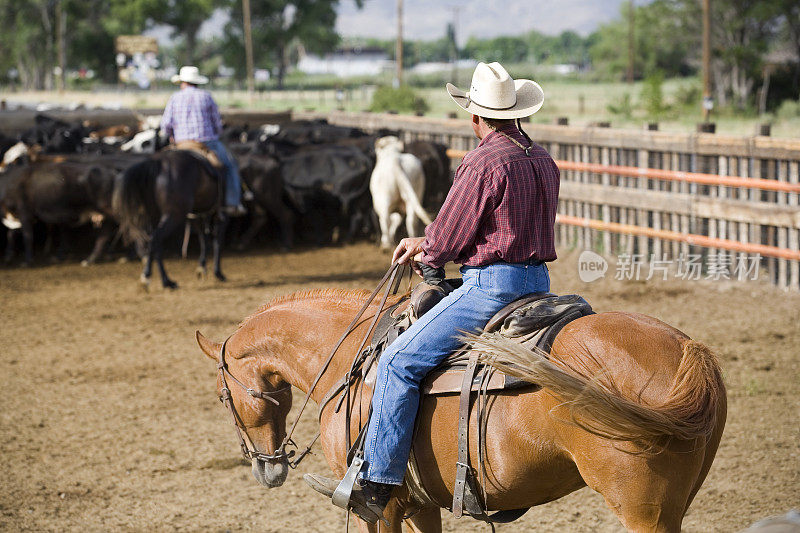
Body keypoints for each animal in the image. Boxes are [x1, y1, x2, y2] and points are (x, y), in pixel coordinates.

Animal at [112, 150, 227, 288]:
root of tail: (158, 163)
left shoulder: (197, 215)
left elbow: (203, 238)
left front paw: (202, 268)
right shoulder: (218, 213)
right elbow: (216, 240)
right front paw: (218, 272)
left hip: (155, 216)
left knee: (154, 242)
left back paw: (157, 278)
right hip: (174, 215)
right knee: (156, 239)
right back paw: (159, 279)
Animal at [197, 288, 728, 528]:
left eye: (222, 396)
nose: (267, 469)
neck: (348, 358)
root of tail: (692, 352)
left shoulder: (380, 507)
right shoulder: (420, 503)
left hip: (643, 511)